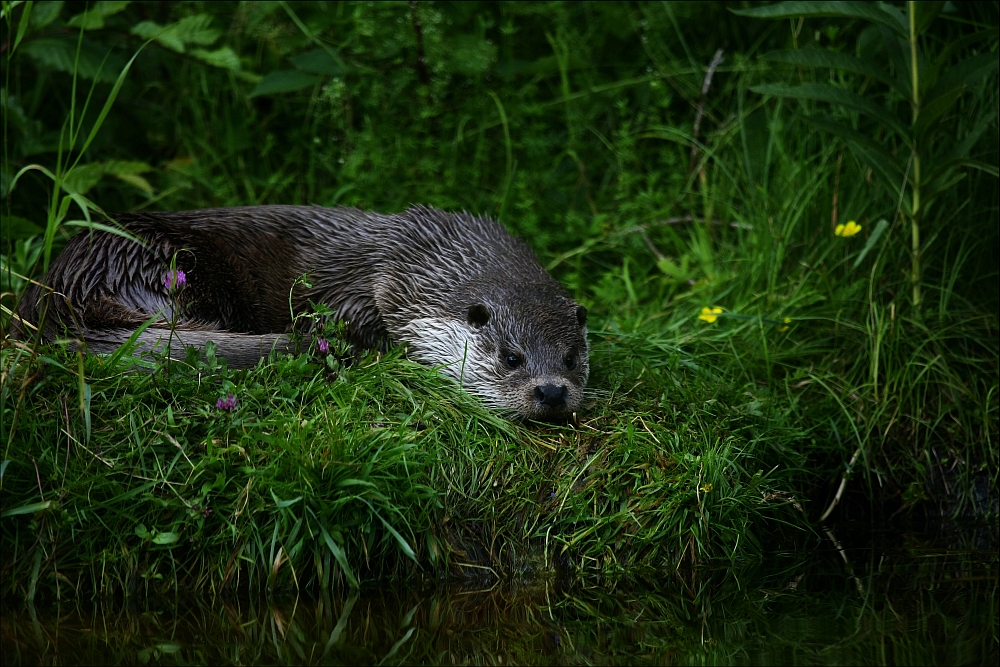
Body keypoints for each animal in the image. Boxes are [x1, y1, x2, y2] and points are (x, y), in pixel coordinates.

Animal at [15, 206, 584, 420]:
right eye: (510, 358)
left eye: (572, 358)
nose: (552, 392)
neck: (413, 259)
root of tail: (62, 299)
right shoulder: (359, 295)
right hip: (161, 266)